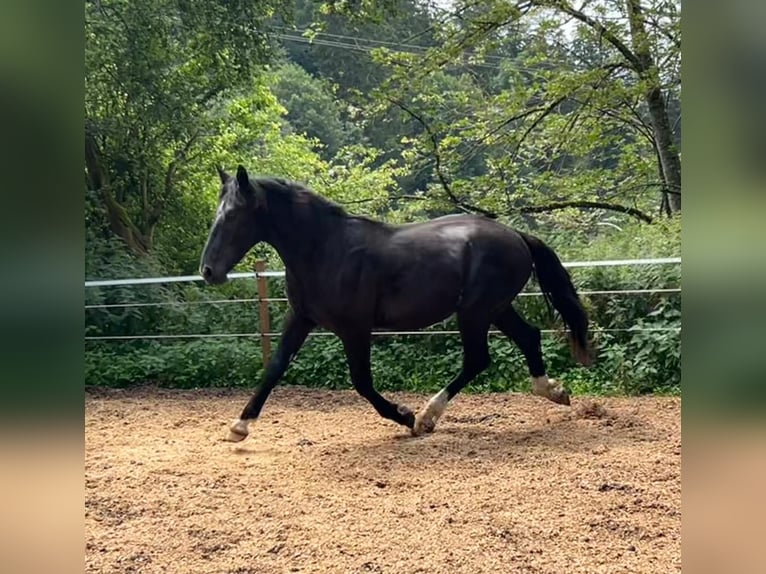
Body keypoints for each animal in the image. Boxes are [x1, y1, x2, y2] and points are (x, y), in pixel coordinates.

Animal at [201, 164, 592, 444]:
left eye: (233, 214)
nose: (208, 271)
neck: (326, 249)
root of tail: (517, 235)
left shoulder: (355, 329)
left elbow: (361, 382)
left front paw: (405, 415)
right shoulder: (301, 319)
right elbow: (275, 366)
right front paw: (239, 426)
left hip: (475, 311)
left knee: (478, 358)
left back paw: (426, 417)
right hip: (495, 308)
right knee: (528, 337)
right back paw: (554, 391)